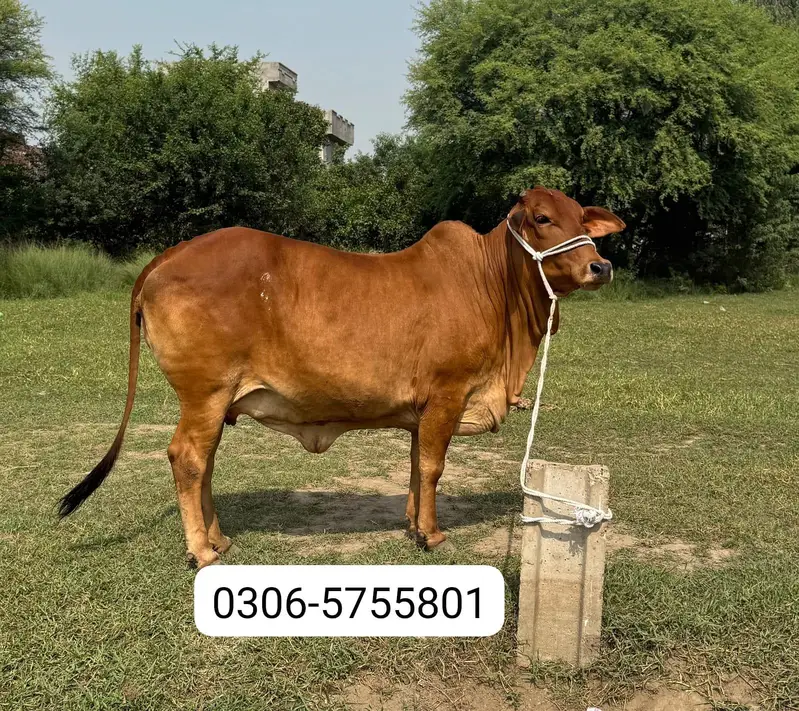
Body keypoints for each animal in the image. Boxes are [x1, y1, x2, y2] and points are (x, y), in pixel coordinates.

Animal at [59, 186, 625, 568]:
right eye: (543, 218)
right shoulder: (447, 394)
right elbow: (434, 467)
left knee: (205, 463)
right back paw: (202, 549)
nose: (600, 266)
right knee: (188, 459)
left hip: (216, 405)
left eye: (582, 219)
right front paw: (432, 534)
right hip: (205, 394)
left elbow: (417, 466)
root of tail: (169, 255)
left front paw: (412, 525)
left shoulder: (422, 412)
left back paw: (218, 538)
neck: (493, 287)